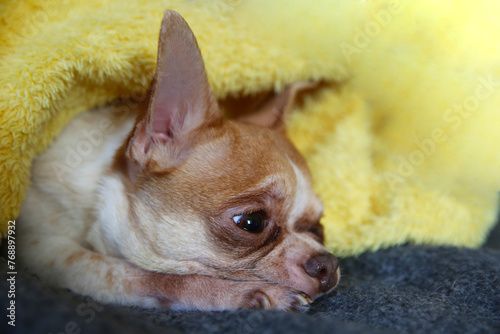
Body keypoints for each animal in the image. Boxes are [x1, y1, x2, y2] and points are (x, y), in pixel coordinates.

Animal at [19, 11, 340, 314]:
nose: (327, 265)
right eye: (252, 222)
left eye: (319, 226)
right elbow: (149, 277)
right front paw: (243, 294)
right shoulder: (44, 249)